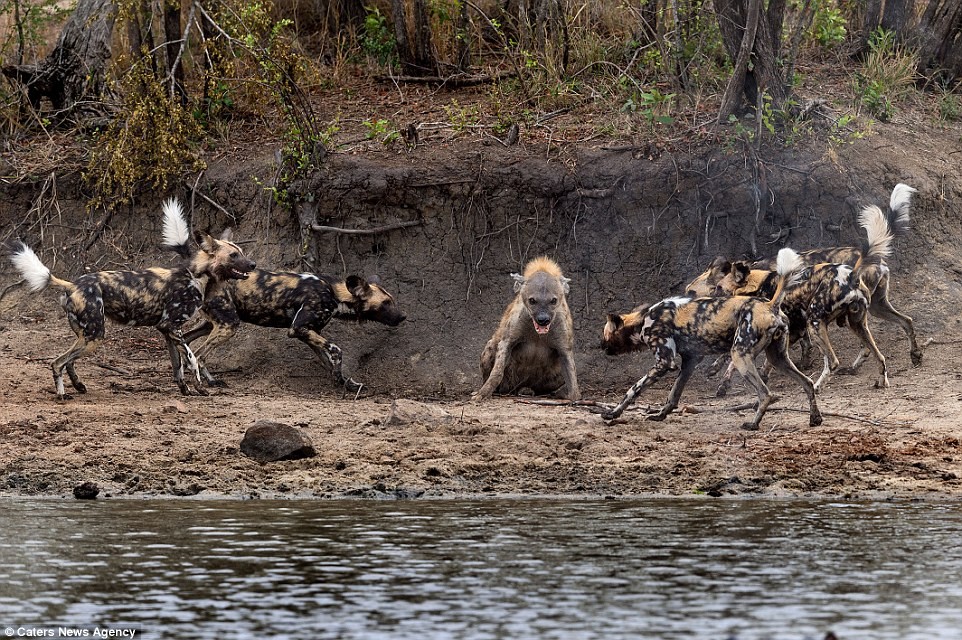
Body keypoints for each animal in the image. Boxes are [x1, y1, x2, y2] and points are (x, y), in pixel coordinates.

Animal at [9, 199, 255, 400]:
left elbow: (178, 366)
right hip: (95, 335)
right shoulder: (171, 326)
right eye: (234, 255)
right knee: (58, 361)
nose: (253, 264)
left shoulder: (166, 330)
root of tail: (71, 284)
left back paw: (78, 386)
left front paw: (185, 390)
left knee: (68, 361)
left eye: (241, 252)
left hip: (87, 335)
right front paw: (200, 388)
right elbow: (192, 359)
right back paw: (62, 395)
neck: (197, 277)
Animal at [178, 268, 404, 392]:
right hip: (229, 325)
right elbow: (337, 350)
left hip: (211, 325)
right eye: (385, 303)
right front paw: (339, 380)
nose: (403, 317)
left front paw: (344, 382)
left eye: (392, 300)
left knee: (187, 343)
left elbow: (327, 359)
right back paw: (211, 382)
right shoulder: (298, 328)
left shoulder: (309, 332)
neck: (335, 293)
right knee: (199, 354)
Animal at [472, 255, 576, 400]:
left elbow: (571, 374)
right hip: (493, 349)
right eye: (532, 300)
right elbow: (497, 370)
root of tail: (517, 388)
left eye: (553, 300)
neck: (537, 333)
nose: (543, 319)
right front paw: (482, 394)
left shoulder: (564, 345)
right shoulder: (507, 338)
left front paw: (574, 397)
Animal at [600, 248, 816, 432]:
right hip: (777, 358)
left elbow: (633, 390)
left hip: (740, 356)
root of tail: (770, 305)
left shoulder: (664, 363)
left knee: (765, 393)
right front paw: (661, 415)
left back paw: (753, 424)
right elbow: (673, 395)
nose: (600, 346)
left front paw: (613, 413)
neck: (643, 320)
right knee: (807, 382)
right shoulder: (690, 361)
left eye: (605, 335)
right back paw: (815, 419)